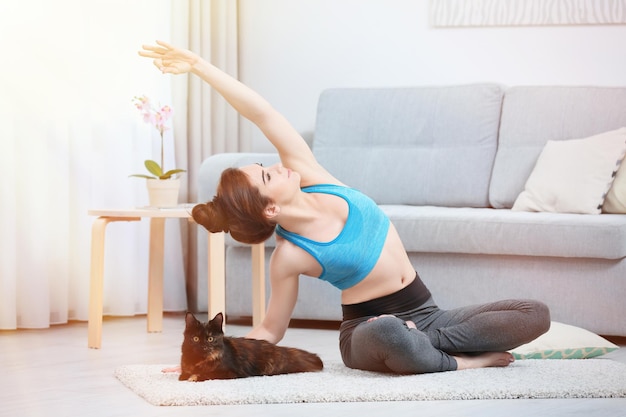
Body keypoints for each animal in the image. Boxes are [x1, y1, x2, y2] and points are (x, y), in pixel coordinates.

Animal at [177, 308, 320, 380]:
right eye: (195, 338)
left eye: (210, 339)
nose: (203, 346)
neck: (199, 362)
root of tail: (281, 349)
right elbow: (183, 375)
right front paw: (188, 375)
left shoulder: (230, 372)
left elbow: (208, 374)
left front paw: (195, 377)